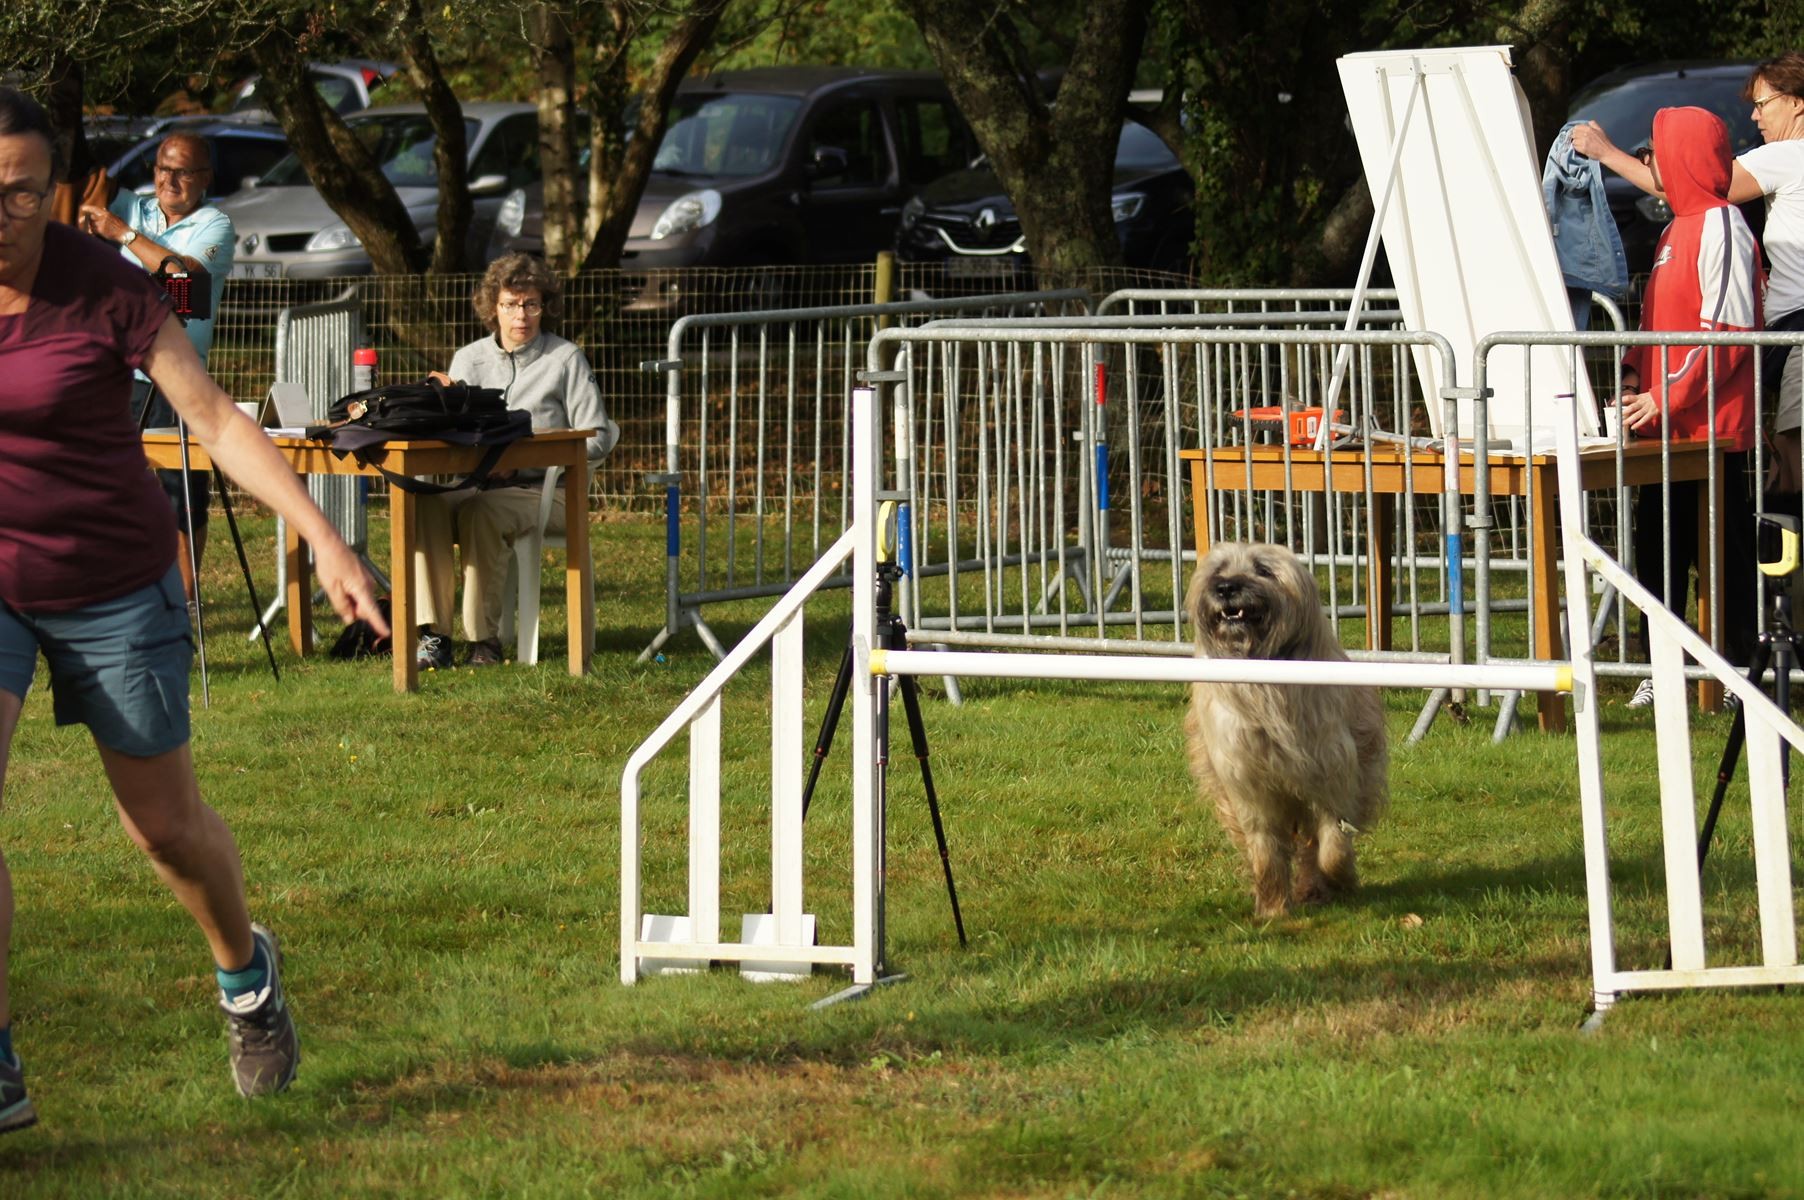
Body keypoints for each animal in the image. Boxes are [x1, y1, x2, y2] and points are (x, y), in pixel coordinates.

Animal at [1190, 541, 1385, 916]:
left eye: (1263, 570)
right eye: (1219, 570)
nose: (1225, 588)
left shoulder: (1332, 770)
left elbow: (1333, 840)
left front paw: (1340, 878)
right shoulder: (1248, 785)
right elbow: (1265, 848)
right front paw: (1273, 907)